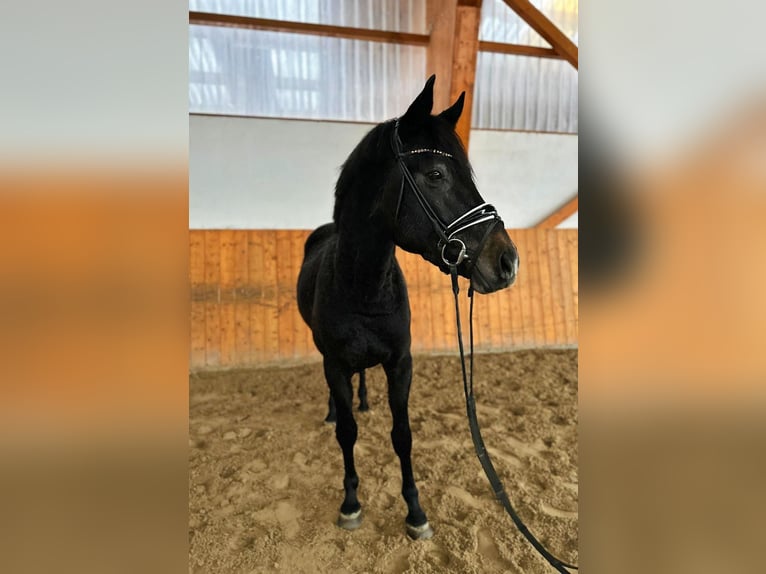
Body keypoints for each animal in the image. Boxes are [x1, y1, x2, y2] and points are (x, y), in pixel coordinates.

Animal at [296, 75, 520, 540]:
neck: (364, 287)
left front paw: (415, 512)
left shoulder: (401, 363)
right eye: (435, 174)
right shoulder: (336, 365)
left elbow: (402, 435)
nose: (508, 262)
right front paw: (350, 503)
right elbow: (347, 432)